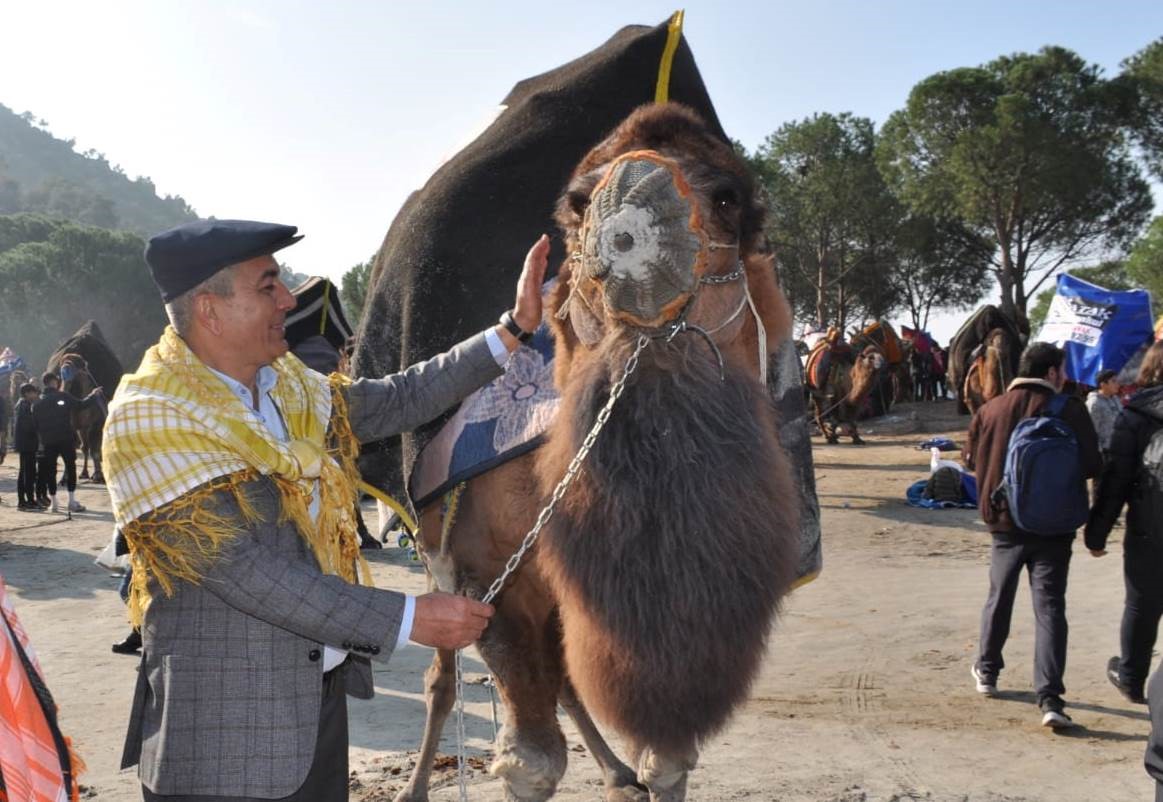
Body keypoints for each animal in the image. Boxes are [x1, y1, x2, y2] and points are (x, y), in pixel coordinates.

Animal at [395, 102, 804, 799]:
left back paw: (615, 771)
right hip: (437, 550)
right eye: (580, 201)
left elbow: (668, 758)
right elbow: (532, 763)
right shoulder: (487, 575)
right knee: (444, 676)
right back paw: (418, 783)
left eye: (727, 196)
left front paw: (640, 771)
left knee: (563, 675)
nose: (630, 207)